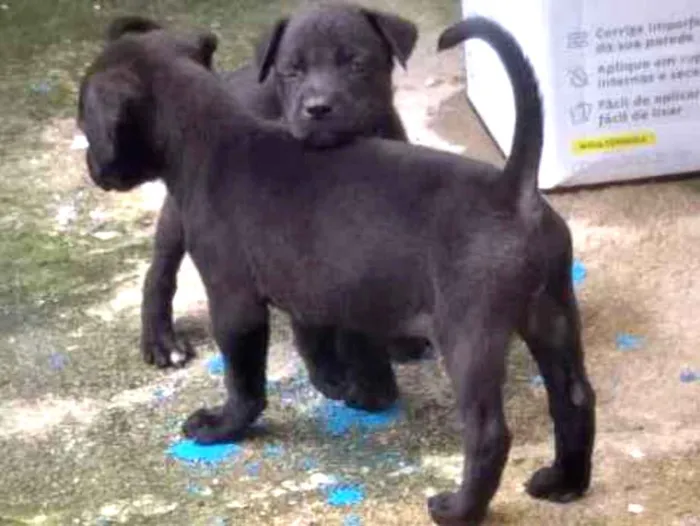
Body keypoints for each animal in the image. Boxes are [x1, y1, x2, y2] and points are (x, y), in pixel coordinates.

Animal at [133, 6, 426, 414]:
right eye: (292, 71)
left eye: (355, 63)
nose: (317, 108)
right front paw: (334, 373)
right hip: (182, 213)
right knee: (160, 270)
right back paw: (161, 340)